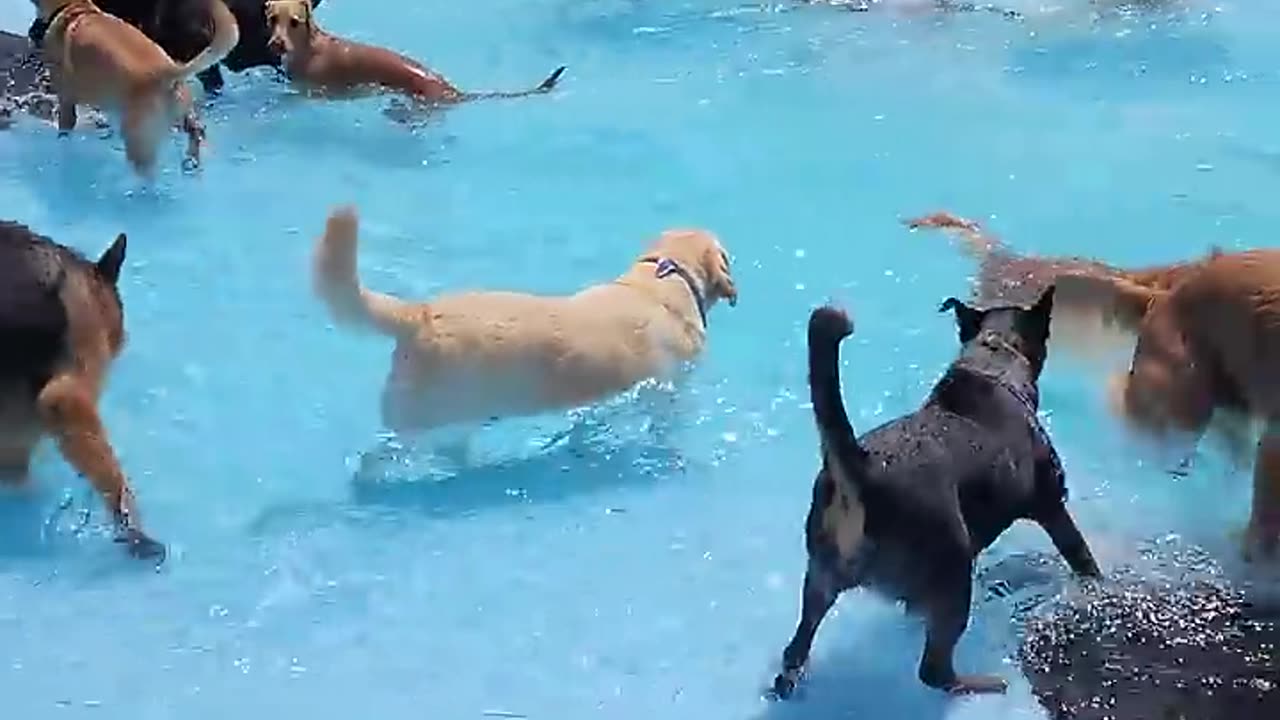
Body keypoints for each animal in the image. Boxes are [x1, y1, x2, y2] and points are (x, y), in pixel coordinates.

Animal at [768, 288, 1100, 696]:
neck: (994, 359)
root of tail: (863, 470)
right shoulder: (1052, 508)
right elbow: (1082, 556)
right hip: (954, 572)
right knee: (934, 671)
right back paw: (980, 683)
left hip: (820, 578)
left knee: (796, 646)